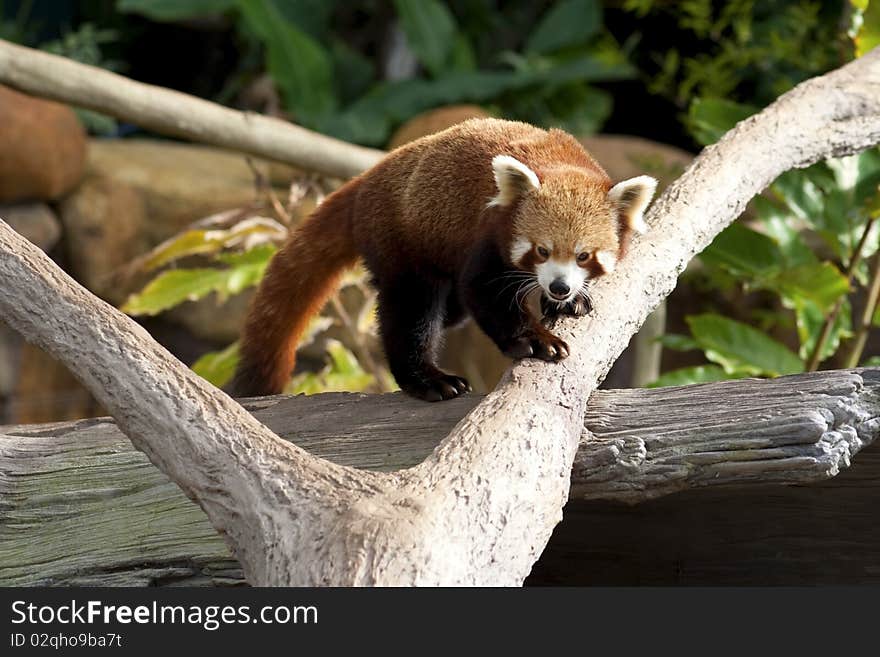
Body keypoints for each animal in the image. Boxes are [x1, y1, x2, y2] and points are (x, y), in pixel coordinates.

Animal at [230, 118, 656, 400]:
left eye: (583, 255)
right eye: (542, 251)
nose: (559, 286)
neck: (562, 161)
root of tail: (367, 180)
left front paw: (571, 302)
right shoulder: (487, 235)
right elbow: (484, 291)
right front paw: (536, 339)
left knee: (451, 309)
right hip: (402, 242)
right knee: (412, 311)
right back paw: (428, 379)